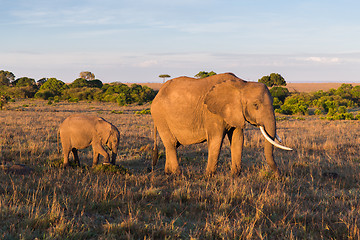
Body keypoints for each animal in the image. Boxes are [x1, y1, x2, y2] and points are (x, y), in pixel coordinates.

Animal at [150, 72, 292, 176]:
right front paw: (209, 176)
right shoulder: (212, 113)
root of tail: (157, 94)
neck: (242, 84)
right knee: (172, 144)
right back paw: (178, 174)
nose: (279, 175)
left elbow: (238, 139)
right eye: (255, 105)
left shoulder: (235, 112)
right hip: (160, 116)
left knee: (172, 145)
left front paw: (235, 175)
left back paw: (168, 173)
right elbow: (216, 140)